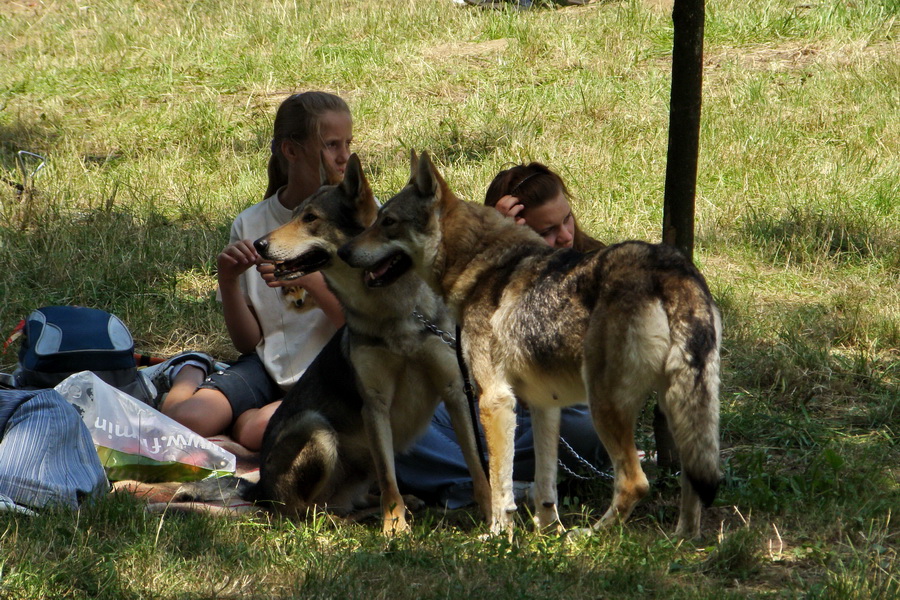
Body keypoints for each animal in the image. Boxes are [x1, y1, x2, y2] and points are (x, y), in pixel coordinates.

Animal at [248, 155, 492, 536]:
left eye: (311, 218)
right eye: (294, 214)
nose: (258, 245)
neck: (396, 313)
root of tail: (258, 489)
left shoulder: (455, 392)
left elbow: (477, 467)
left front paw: (491, 514)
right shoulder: (375, 404)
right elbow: (389, 479)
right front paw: (395, 527)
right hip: (316, 428)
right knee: (305, 512)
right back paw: (354, 518)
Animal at [340, 151, 724, 540]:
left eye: (387, 221)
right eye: (376, 220)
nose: (343, 251)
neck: (478, 265)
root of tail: (670, 268)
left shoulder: (493, 400)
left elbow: (499, 484)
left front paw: (498, 535)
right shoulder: (544, 404)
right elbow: (544, 485)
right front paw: (547, 531)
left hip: (604, 405)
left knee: (635, 482)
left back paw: (587, 535)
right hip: (678, 406)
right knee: (695, 480)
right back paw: (681, 539)